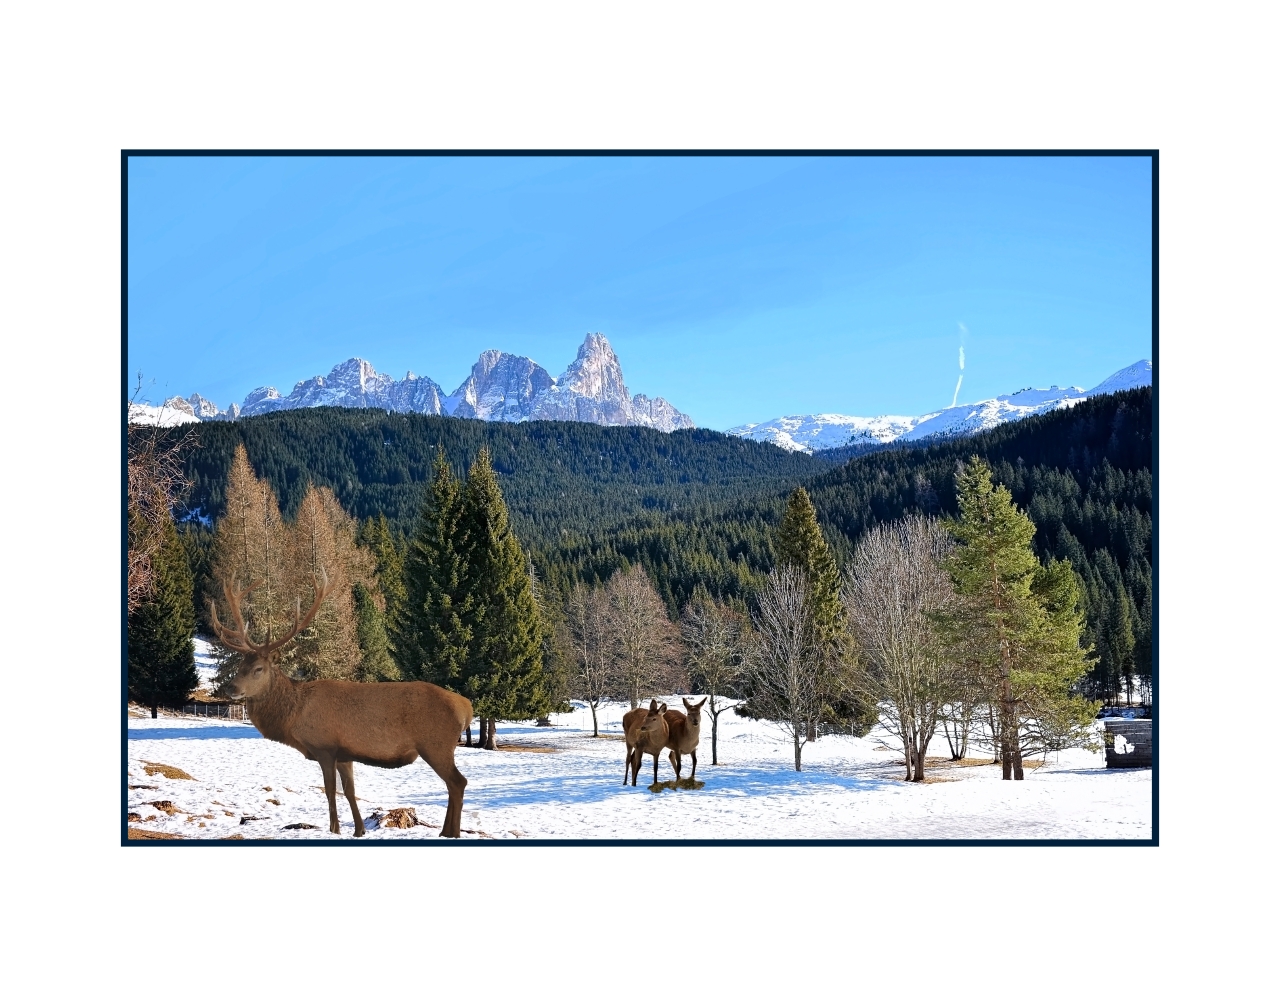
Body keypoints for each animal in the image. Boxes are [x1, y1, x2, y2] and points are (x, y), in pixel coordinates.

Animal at [209, 570, 476, 834]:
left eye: (258, 669)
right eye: (240, 665)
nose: (230, 688)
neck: (294, 716)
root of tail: (467, 708)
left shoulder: (325, 747)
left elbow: (330, 792)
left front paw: (335, 829)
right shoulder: (346, 754)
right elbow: (350, 792)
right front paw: (359, 830)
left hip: (436, 744)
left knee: (458, 782)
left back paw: (451, 832)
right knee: (453, 784)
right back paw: (444, 831)